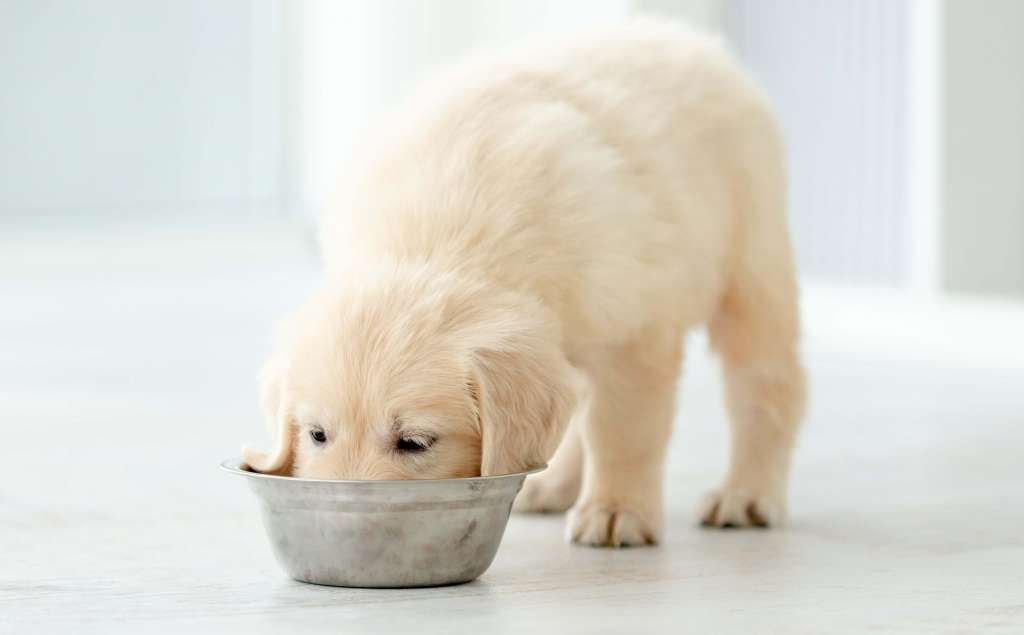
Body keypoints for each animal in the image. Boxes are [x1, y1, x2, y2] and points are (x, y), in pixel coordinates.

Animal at [243, 22, 802, 548]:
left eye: (415, 443)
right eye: (317, 434)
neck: (437, 240)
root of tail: (692, 40)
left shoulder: (632, 331)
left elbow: (620, 429)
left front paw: (615, 509)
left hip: (752, 264)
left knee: (767, 385)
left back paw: (746, 493)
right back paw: (554, 485)